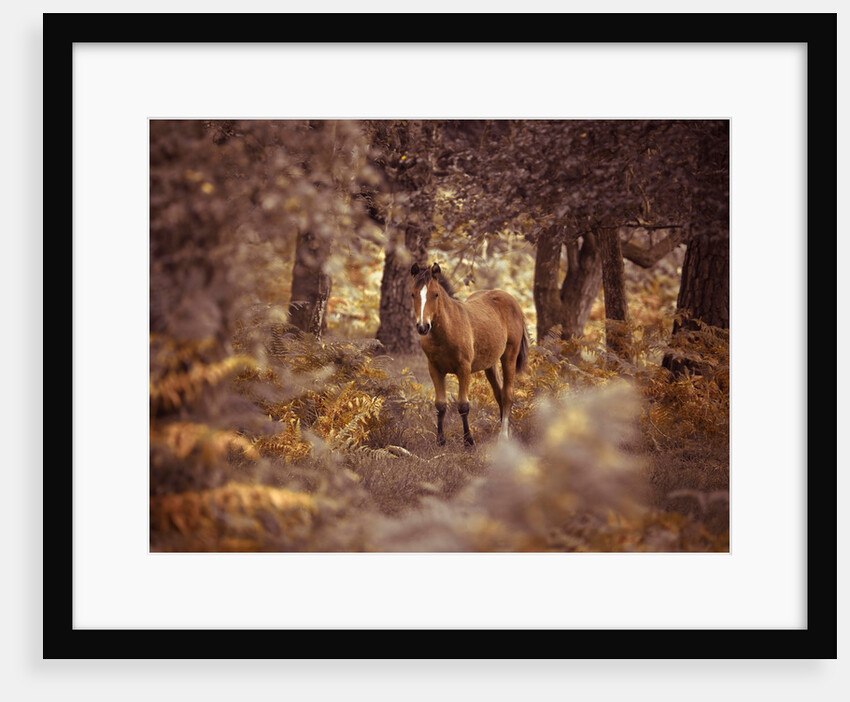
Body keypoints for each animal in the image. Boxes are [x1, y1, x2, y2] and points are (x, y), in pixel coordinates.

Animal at [410, 262, 529, 446]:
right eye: (413, 294)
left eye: (435, 294)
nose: (423, 327)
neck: (447, 330)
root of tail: (511, 300)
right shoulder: (435, 369)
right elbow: (440, 405)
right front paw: (440, 441)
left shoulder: (464, 369)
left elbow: (463, 406)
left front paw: (468, 442)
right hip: (490, 365)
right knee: (499, 394)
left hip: (509, 355)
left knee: (507, 395)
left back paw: (503, 436)